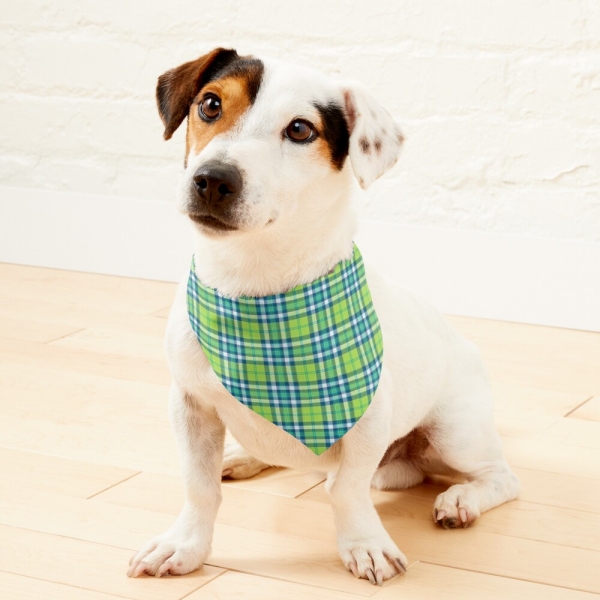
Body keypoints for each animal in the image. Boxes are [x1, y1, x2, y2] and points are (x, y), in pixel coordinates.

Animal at [127, 48, 520, 584]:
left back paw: (461, 499)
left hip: (456, 432)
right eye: (210, 104)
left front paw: (365, 544)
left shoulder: (368, 419)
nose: (212, 179)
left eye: (299, 130)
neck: (256, 287)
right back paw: (244, 456)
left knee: (500, 477)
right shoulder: (190, 405)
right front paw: (185, 545)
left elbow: (347, 490)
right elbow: (199, 486)